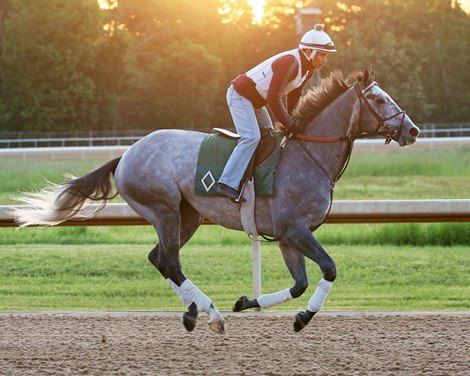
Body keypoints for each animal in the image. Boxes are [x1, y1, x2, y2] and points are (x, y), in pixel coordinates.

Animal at [13, 67, 418, 334]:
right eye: (379, 98)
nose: (412, 130)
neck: (308, 155)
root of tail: (126, 154)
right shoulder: (296, 229)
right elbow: (330, 268)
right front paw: (302, 318)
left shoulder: (287, 237)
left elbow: (300, 283)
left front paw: (249, 303)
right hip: (164, 210)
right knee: (170, 262)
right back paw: (211, 314)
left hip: (187, 216)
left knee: (159, 259)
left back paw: (194, 312)